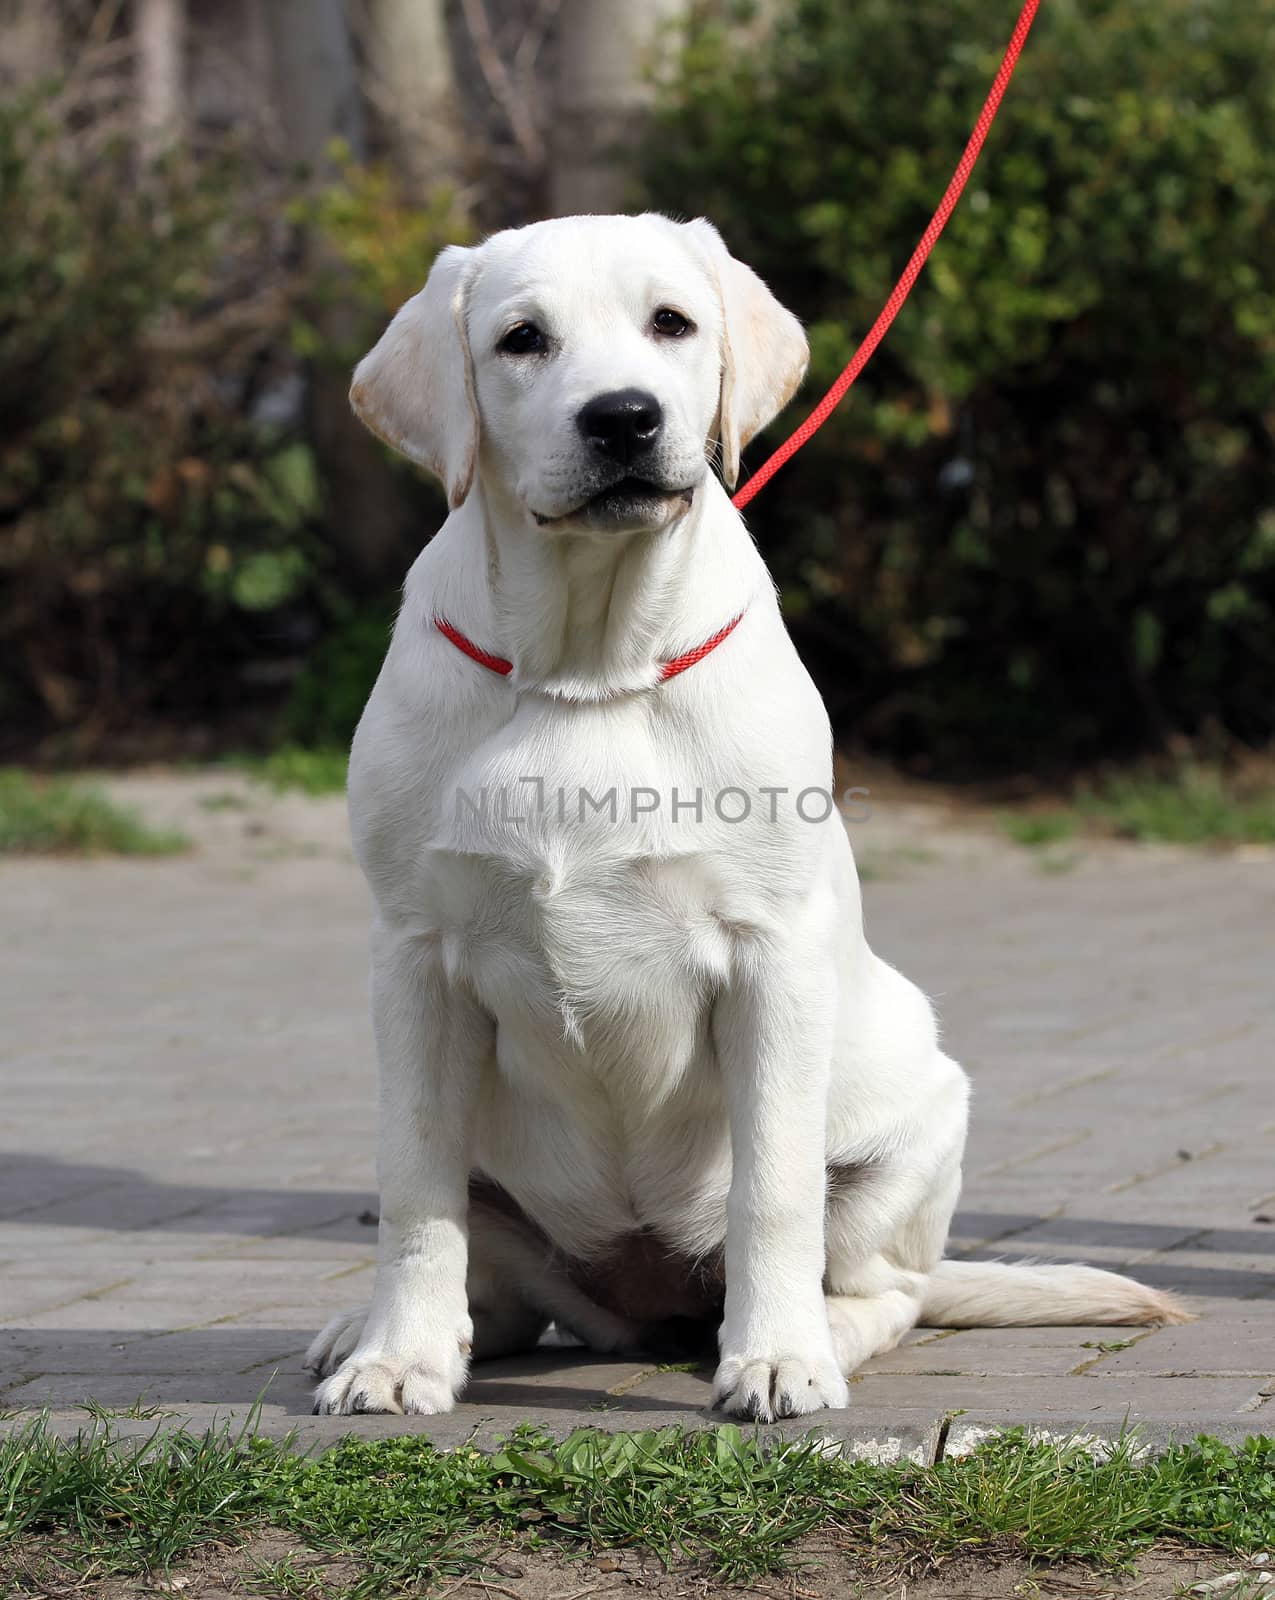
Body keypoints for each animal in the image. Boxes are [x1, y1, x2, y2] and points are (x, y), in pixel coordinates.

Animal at [308, 212, 1183, 1427]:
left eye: (672, 323)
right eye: (522, 339)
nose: (623, 417)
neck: (589, 667)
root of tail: (643, 1304)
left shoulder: (771, 955)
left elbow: (771, 1188)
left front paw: (773, 1360)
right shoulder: (413, 958)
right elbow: (413, 1191)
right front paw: (398, 1359)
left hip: (917, 1119)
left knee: (885, 1288)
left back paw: (816, 1335)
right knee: (506, 1289)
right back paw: (371, 1329)